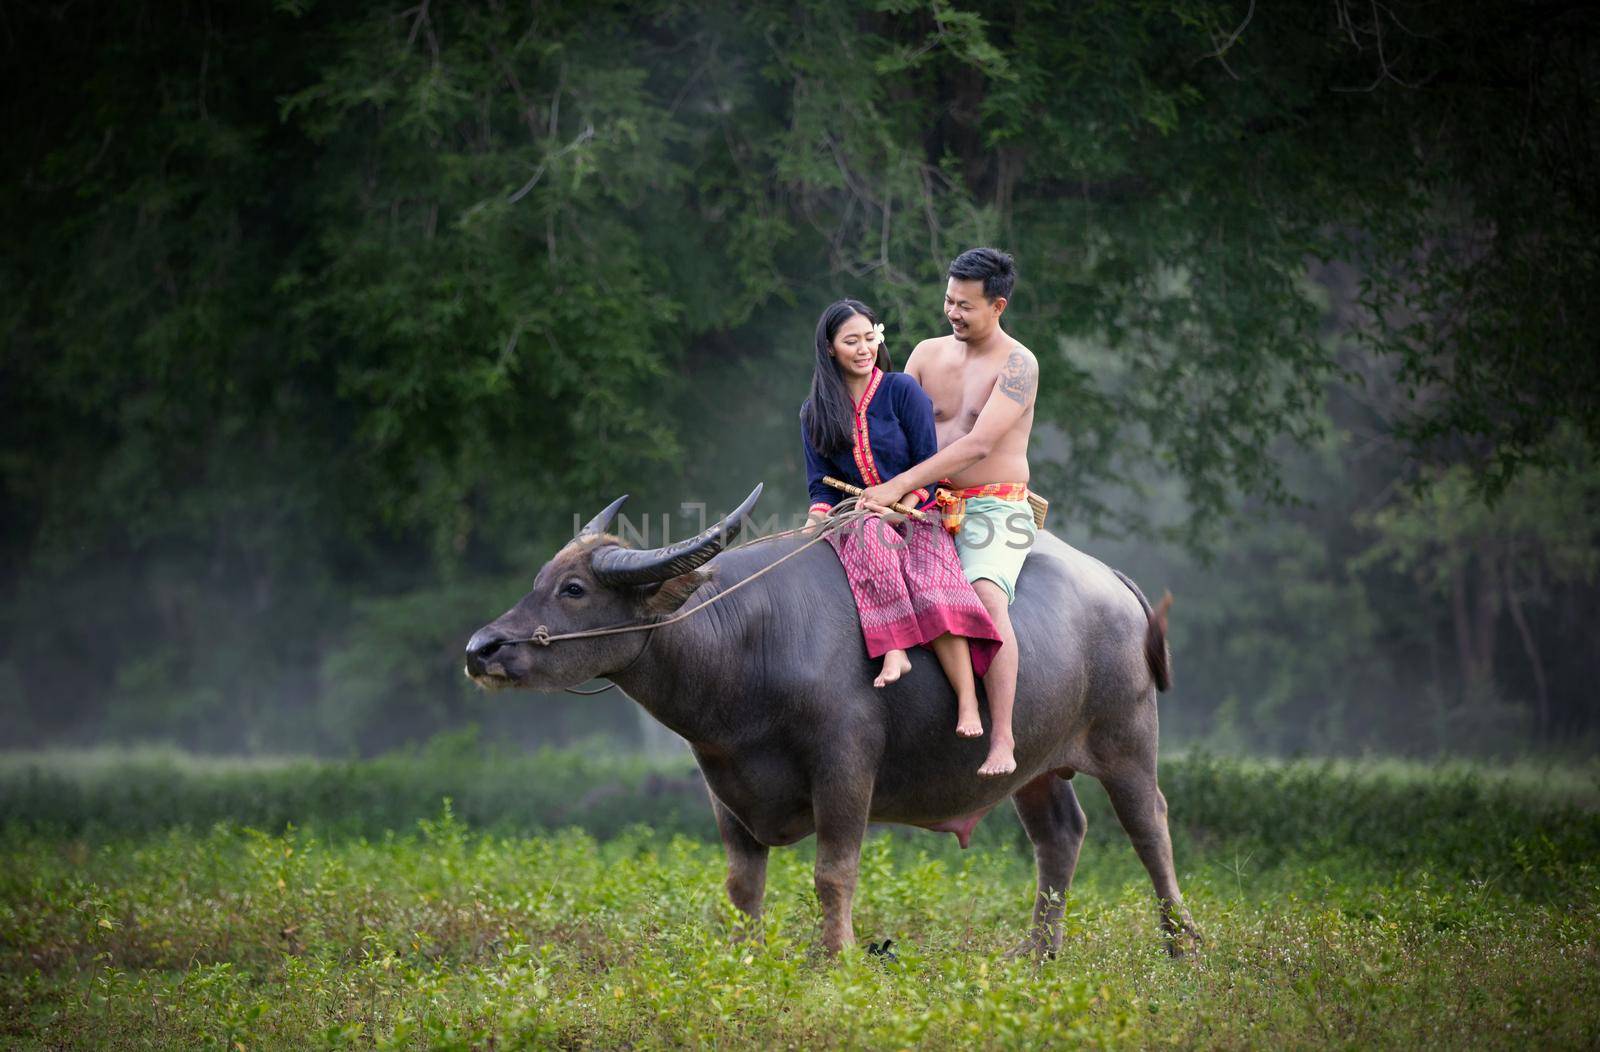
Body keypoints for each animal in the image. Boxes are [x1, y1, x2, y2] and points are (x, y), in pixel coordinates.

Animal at [467, 486, 1203, 952]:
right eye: (540, 581)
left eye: (574, 590)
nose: (482, 649)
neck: (746, 645)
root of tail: (1115, 582)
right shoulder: (724, 788)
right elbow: (741, 886)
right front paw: (746, 961)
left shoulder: (846, 767)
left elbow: (833, 872)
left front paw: (836, 959)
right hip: (1031, 763)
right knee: (1061, 836)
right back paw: (1038, 955)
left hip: (1129, 740)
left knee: (1151, 827)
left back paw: (1181, 946)